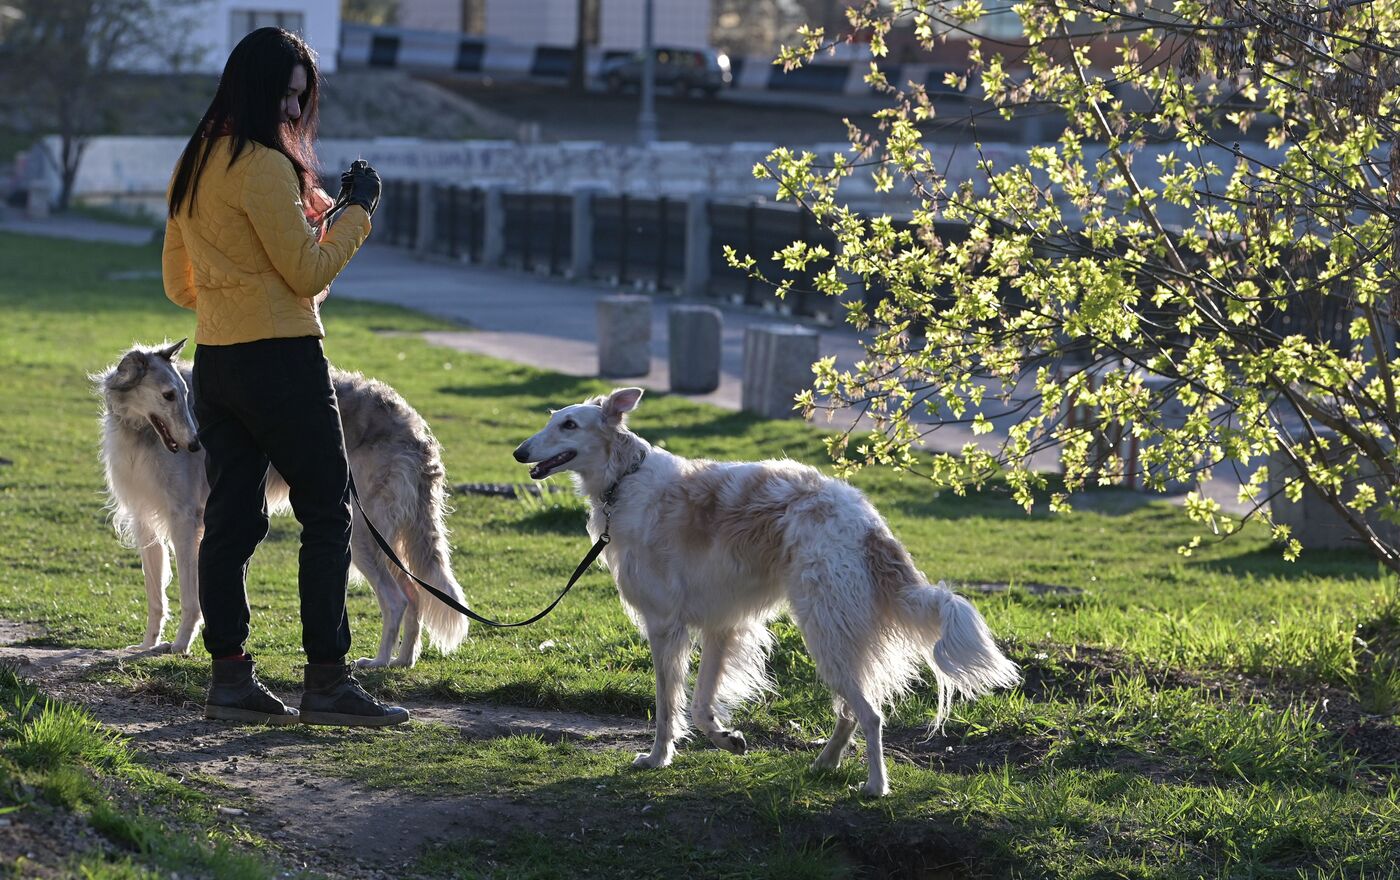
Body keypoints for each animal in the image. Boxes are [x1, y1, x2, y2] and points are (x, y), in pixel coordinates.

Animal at [98, 341, 473, 665]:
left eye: (185, 395)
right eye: (167, 395)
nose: (195, 444)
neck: (139, 432)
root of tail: (416, 430)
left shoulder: (185, 522)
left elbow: (191, 598)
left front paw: (179, 645)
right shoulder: (145, 522)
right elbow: (155, 597)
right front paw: (148, 644)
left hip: (363, 533)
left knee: (397, 600)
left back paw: (378, 661)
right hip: (389, 538)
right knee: (415, 596)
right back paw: (402, 660)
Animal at [515, 383, 1019, 794]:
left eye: (568, 424)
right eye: (552, 419)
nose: (520, 452)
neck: (625, 479)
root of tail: (867, 523)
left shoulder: (665, 626)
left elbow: (667, 706)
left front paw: (657, 759)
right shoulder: (721, 624)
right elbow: (700, 706)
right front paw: (727, 739)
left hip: (825, 629)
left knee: (870, 713)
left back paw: (875, 786)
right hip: (836, 634)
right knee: (850, 711)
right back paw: (825, 762)